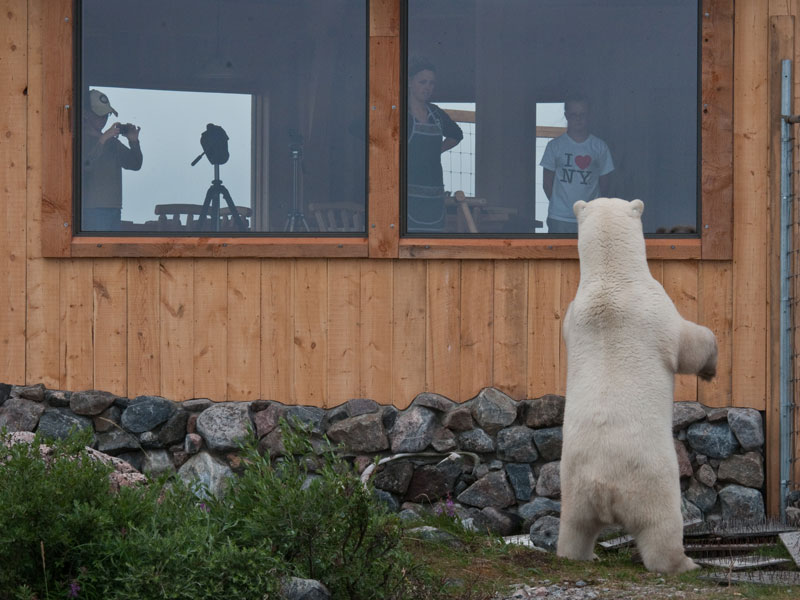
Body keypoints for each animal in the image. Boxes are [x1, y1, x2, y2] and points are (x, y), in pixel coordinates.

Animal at [556, 196, 720, 572]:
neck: (610, 278)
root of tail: (605, 487)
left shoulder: (571, 318)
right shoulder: (656, 307)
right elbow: (690, 343)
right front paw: (710, 366)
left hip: (573, 483)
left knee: (574, 525)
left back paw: (575, 555)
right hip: (651, 480)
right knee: (661, 526)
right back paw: (684, 563)